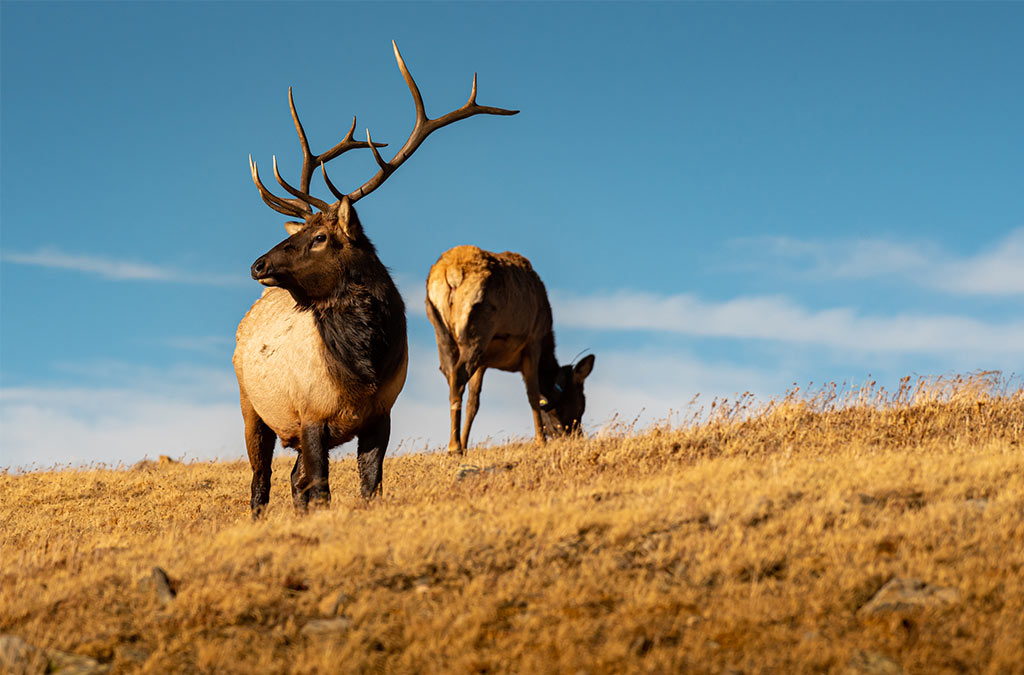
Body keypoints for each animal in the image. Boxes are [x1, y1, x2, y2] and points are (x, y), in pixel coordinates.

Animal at [234, 42, 516, 514]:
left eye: (320, 237)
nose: (258, 265)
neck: (362, 371)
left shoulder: (381, 413)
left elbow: (369, 485)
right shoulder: (309, 414)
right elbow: (323, 488)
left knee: (292, 480)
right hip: (251, 406)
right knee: (261, 481)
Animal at [428, 243, 598, 454]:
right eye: (580, 403)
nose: (577, 436)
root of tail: (453, 274)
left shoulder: (484, 362)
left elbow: (473, 403)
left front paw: (466, 443)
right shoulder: (533, 340)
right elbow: (532, 393)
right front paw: (540, 440)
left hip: (441, 329)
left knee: (449, 374)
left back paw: (456, 445)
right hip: (478, 324)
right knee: (459, 374)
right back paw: (454, 446)